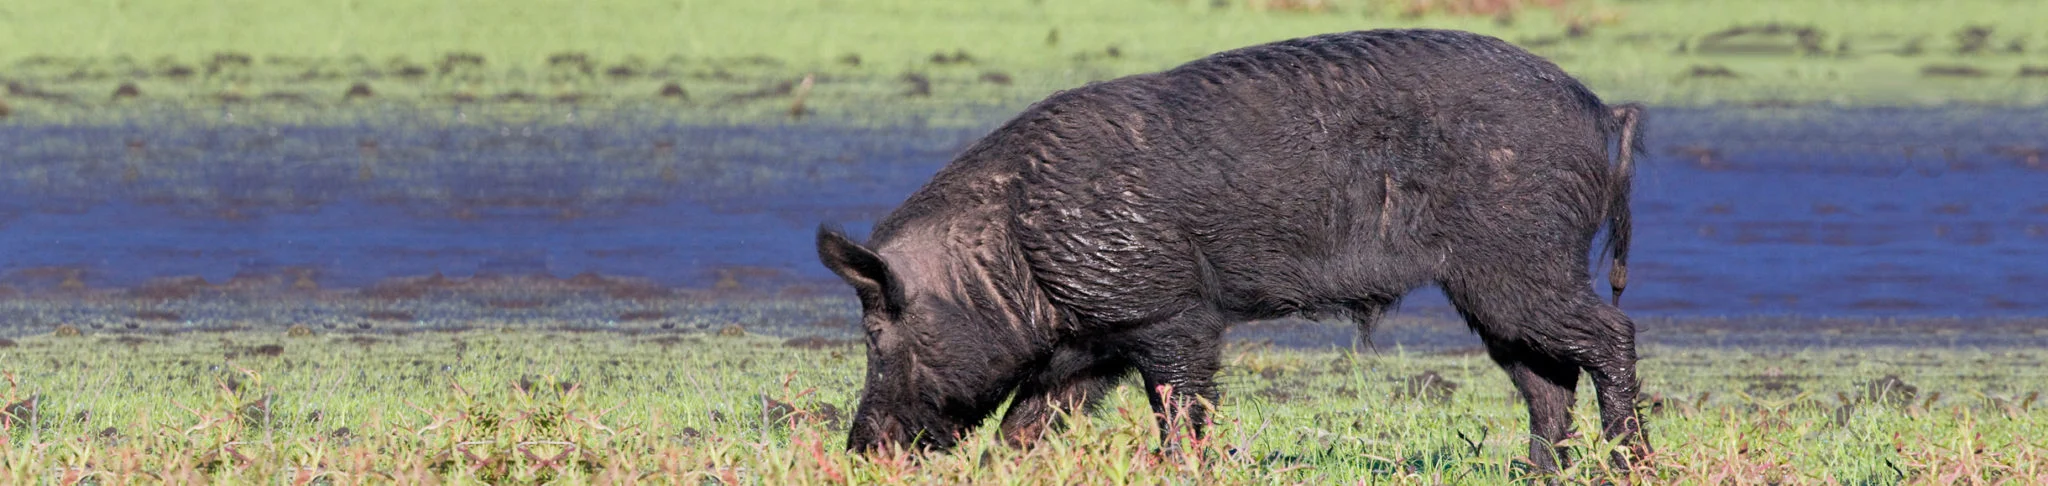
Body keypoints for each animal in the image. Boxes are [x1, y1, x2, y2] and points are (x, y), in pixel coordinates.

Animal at [816, 28, 1648, 473]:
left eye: (875, 333)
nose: (859, 449)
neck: (1011, 250)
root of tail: (1600, 112)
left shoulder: (1172, 314)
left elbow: (1181, 410)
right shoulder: (1093, 344)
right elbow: (1028, 425)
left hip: (1522, 263)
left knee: (1613, 336)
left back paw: (1628, 464)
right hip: (1495, 290)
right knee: (1546, 380)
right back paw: (1539, 474)